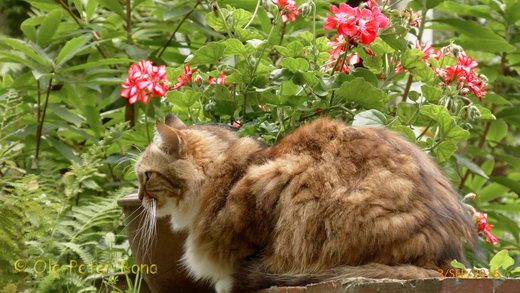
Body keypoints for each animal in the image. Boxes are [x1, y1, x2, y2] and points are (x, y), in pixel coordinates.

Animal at [136, 114, 478, 292]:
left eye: (146, 176)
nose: (138, 198)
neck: (229, 173)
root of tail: (438, 260)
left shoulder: (265, 180)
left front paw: (227, 280)